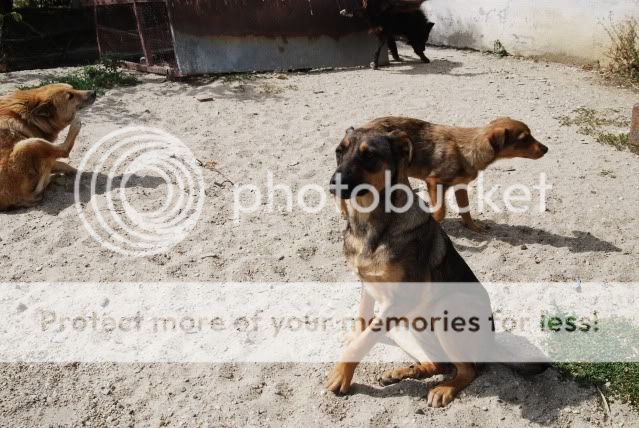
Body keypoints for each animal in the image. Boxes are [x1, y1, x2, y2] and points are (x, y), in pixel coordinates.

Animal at [330, 126, 544, 408]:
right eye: (339, 151)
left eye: (370, 156)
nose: (333, 184)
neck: (370, 223)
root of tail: (490, 344)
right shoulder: (369, 285)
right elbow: (363, 323)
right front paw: (351, 346)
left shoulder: (401, 297)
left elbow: (363, 342)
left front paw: (341, 374)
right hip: (404, 326)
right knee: (438, 364)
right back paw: (402, 373)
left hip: (447, 310)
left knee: (468, 370)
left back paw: (445, 389)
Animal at [360, 116, 552, 231]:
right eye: (524, 139)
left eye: (531, 135)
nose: (546, 149)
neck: (468, 148)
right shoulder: (434, 181)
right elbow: (440, 212)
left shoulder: (461, 186)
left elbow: (465, 209)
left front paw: (473, 227)